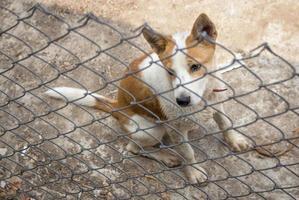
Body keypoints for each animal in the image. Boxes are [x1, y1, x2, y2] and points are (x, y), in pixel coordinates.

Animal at [45, 13, 251, 184]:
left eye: (195, 67)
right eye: (170, 72)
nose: (182, 101)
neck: (205, 95)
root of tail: (117, 108)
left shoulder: (218, 103)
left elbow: (225, 123)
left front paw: (235, 140)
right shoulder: (175, 128)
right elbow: (188, 152)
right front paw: (193, 172)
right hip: (152, 130)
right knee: (134, 148)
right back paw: (166, 156)